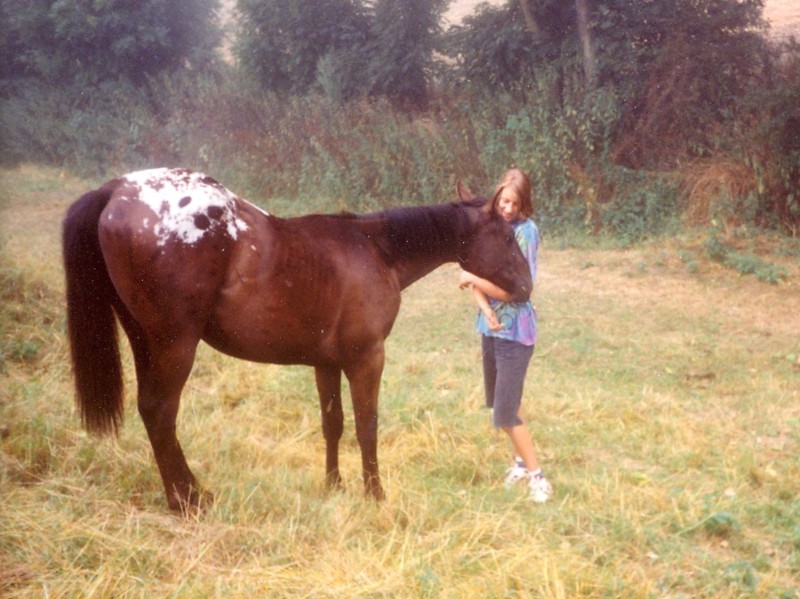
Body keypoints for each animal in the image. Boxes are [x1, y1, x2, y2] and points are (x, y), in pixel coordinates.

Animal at [62, 167, 532, 512]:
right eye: (507, 236)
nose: (526, 287)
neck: (376, 250)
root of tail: (116, 189)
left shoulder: (326, 363)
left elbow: (333, 424)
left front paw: (334, 485)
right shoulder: (366, 359)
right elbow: (367, 426)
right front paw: (374, 494)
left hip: (144, 341)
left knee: (149, 411)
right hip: (174, 346)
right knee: (161, 412)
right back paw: (188, 499)